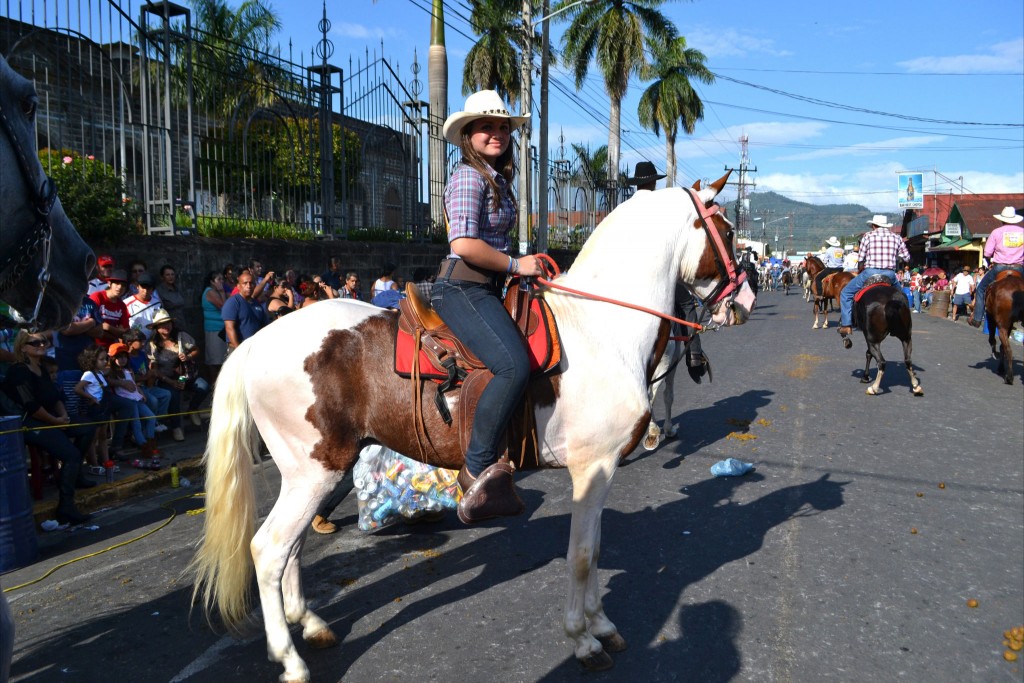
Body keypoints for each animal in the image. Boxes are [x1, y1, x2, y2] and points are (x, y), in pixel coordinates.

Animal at [190, 174, 753, 679]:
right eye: (728, 231)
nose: (745, 302)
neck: (600, 329)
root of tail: (254, 343)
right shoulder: (592, 469)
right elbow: (582, 555)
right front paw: (583, 639)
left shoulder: (601, 470)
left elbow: (594, 550)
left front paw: (601, 625)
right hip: (314, 472)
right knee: (268, 550)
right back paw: (290, 659)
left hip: (309, 476)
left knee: (293, 548)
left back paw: (309, 623)